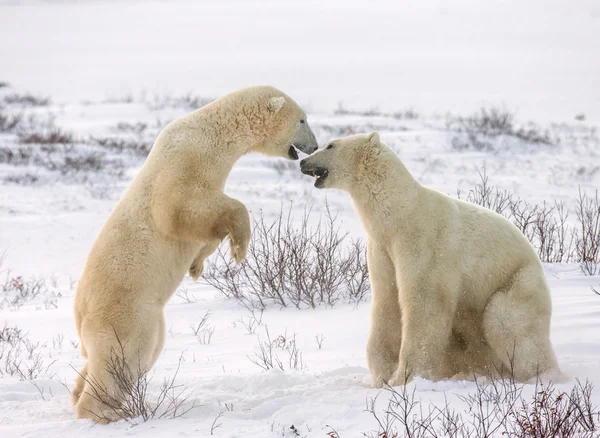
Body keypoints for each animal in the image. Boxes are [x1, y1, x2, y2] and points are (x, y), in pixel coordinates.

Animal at [73, 84, 318, 422]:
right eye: (302, 119)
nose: (314, 146)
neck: (214, 131)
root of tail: (80, 314)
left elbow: (205, 230)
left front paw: (197, 265)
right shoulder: (187, 159)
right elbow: (179, 208)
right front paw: (240, 248)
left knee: (130, 357)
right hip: (127, 313)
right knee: (124, 357)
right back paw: (105, 412)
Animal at [302, 133, 560, 386]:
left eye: (331, 145)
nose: (303, 161)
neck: (398, 215)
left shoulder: (425, 242)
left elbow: (424, 304)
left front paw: (405, 377)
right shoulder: (382, 249)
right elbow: (387, 301)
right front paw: (383, 375)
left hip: (517, 281)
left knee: (509, 323)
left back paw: (540, 375)